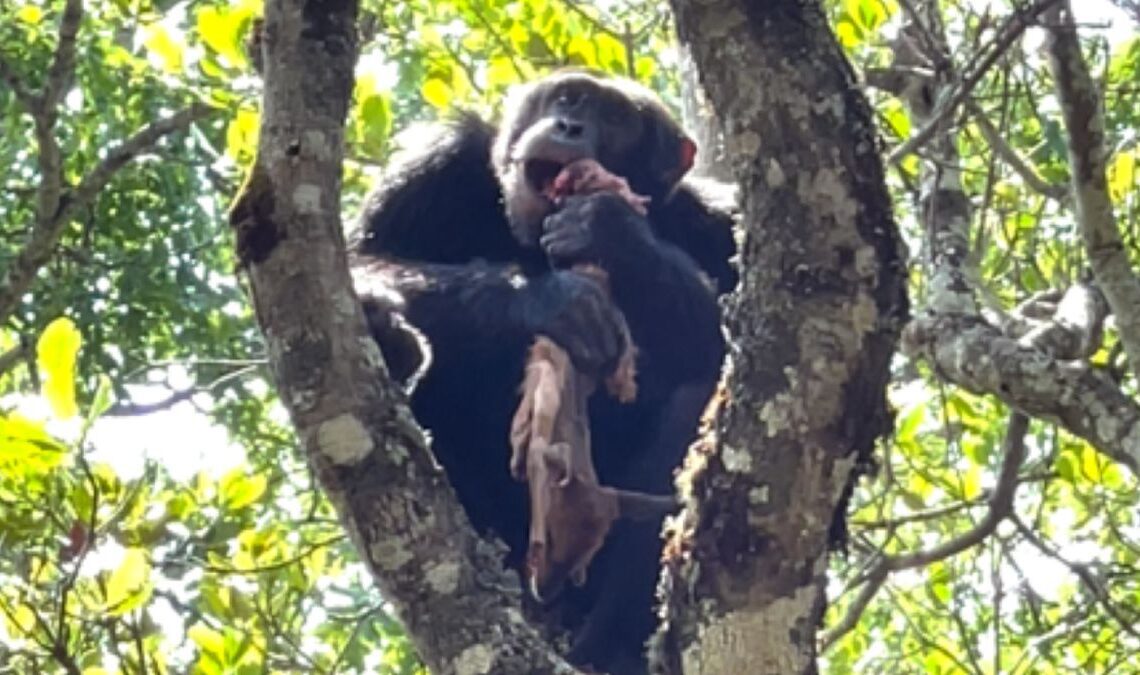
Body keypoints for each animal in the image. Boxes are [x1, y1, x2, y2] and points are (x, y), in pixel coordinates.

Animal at [348, 69, 738, 675]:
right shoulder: (433, 164)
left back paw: (609, 646)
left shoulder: (719, 221)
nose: (570, 125)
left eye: (616, 119)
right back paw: (391, 340)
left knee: (697, 400)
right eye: (568, 97)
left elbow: (741, 343)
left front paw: (611, 230)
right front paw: (549, 300)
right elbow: (359, 259)